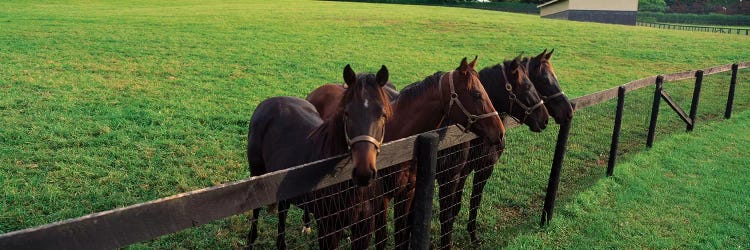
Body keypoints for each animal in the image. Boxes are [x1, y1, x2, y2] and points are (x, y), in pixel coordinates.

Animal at [250, 65, 396, 250]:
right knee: (256, 212)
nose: (364, 173)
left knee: (283, 209)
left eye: (382, 114)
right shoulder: (328, 228)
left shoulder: (364, 228)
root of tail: (268, 103)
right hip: (256, 174)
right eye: (346, 113)